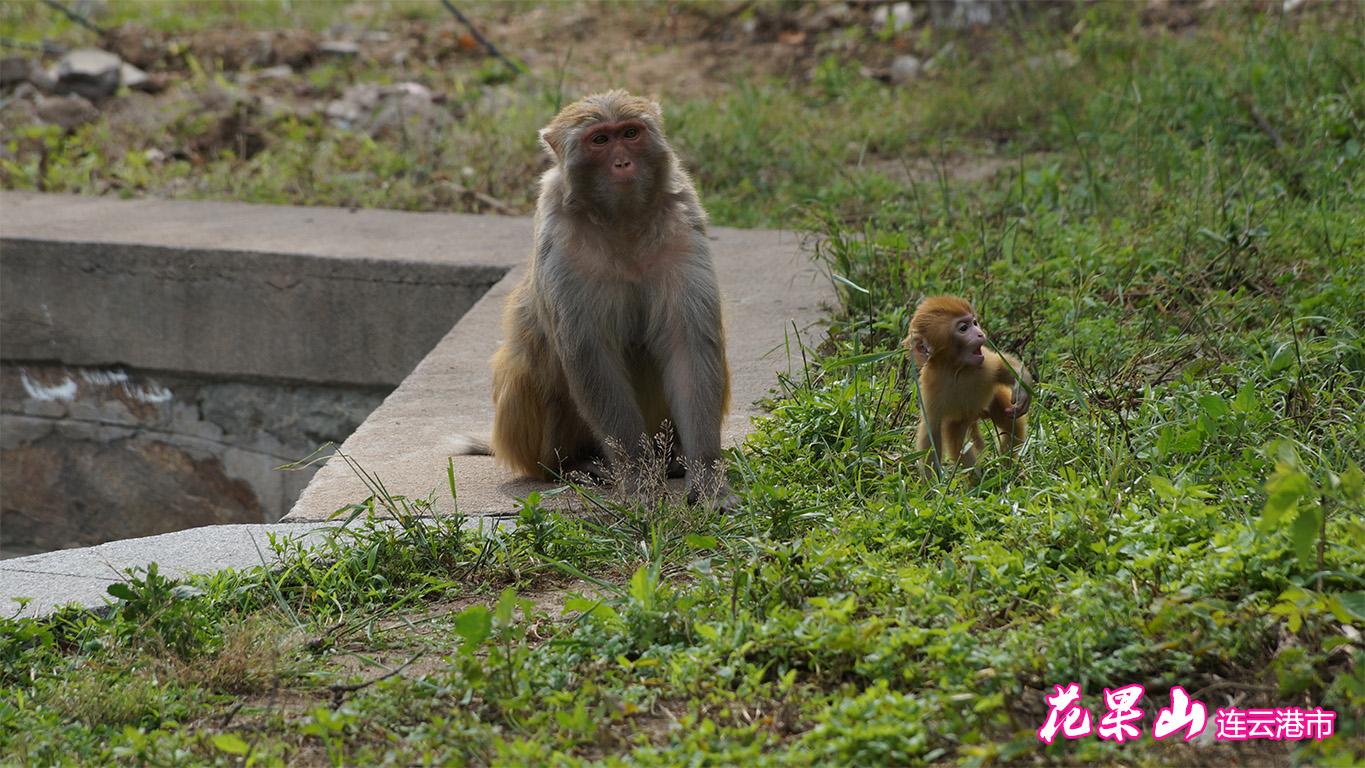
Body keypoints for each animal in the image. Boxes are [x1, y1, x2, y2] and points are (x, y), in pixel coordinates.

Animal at [483, 90, 731, 507]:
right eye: (599, 140)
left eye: (630, 133)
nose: (622, 163)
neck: (622, 220)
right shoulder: (560, 241)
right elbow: (591, 355)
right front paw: (638, 477)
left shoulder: (683, 227)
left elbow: (688, 346)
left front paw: (707, 475)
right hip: (522, 443)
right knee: (530, 365)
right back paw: (573, 464)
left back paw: (673, 457)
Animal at [906, 297, 1031, 477]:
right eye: (964, 328)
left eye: (975, 323)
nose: (980, 333)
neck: (958, 370)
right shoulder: (930, 388)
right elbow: (932, 435)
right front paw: (932, 483)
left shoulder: (985, 364)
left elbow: (1000, 366)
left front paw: (1022, 385)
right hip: (962, 420)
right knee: (958, 443)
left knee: (1010, 424)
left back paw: (1008, 471)